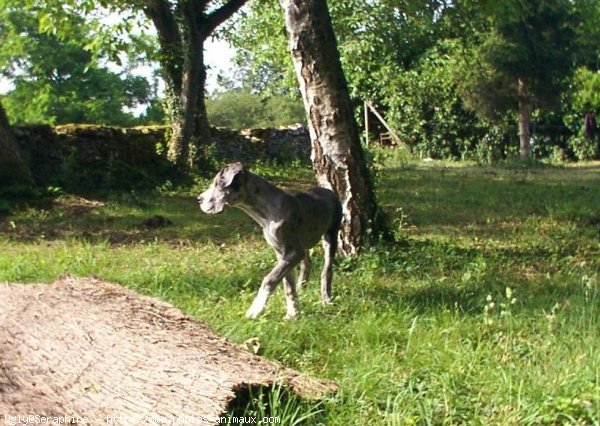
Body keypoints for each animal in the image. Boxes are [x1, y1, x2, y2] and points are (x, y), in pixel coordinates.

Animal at [198, 163, 342, 320]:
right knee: (306, 264)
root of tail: (328, 190)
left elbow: (270, 279)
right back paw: (302, 288)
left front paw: (255, 309)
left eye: (218, 183)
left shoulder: (293, 253)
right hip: (304, 244)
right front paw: (293, 313)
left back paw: (326, 299)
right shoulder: (282, 253)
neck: (266, 212)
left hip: (330, 237)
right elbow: (288, 285)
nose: (199, 199)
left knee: (326, 271)